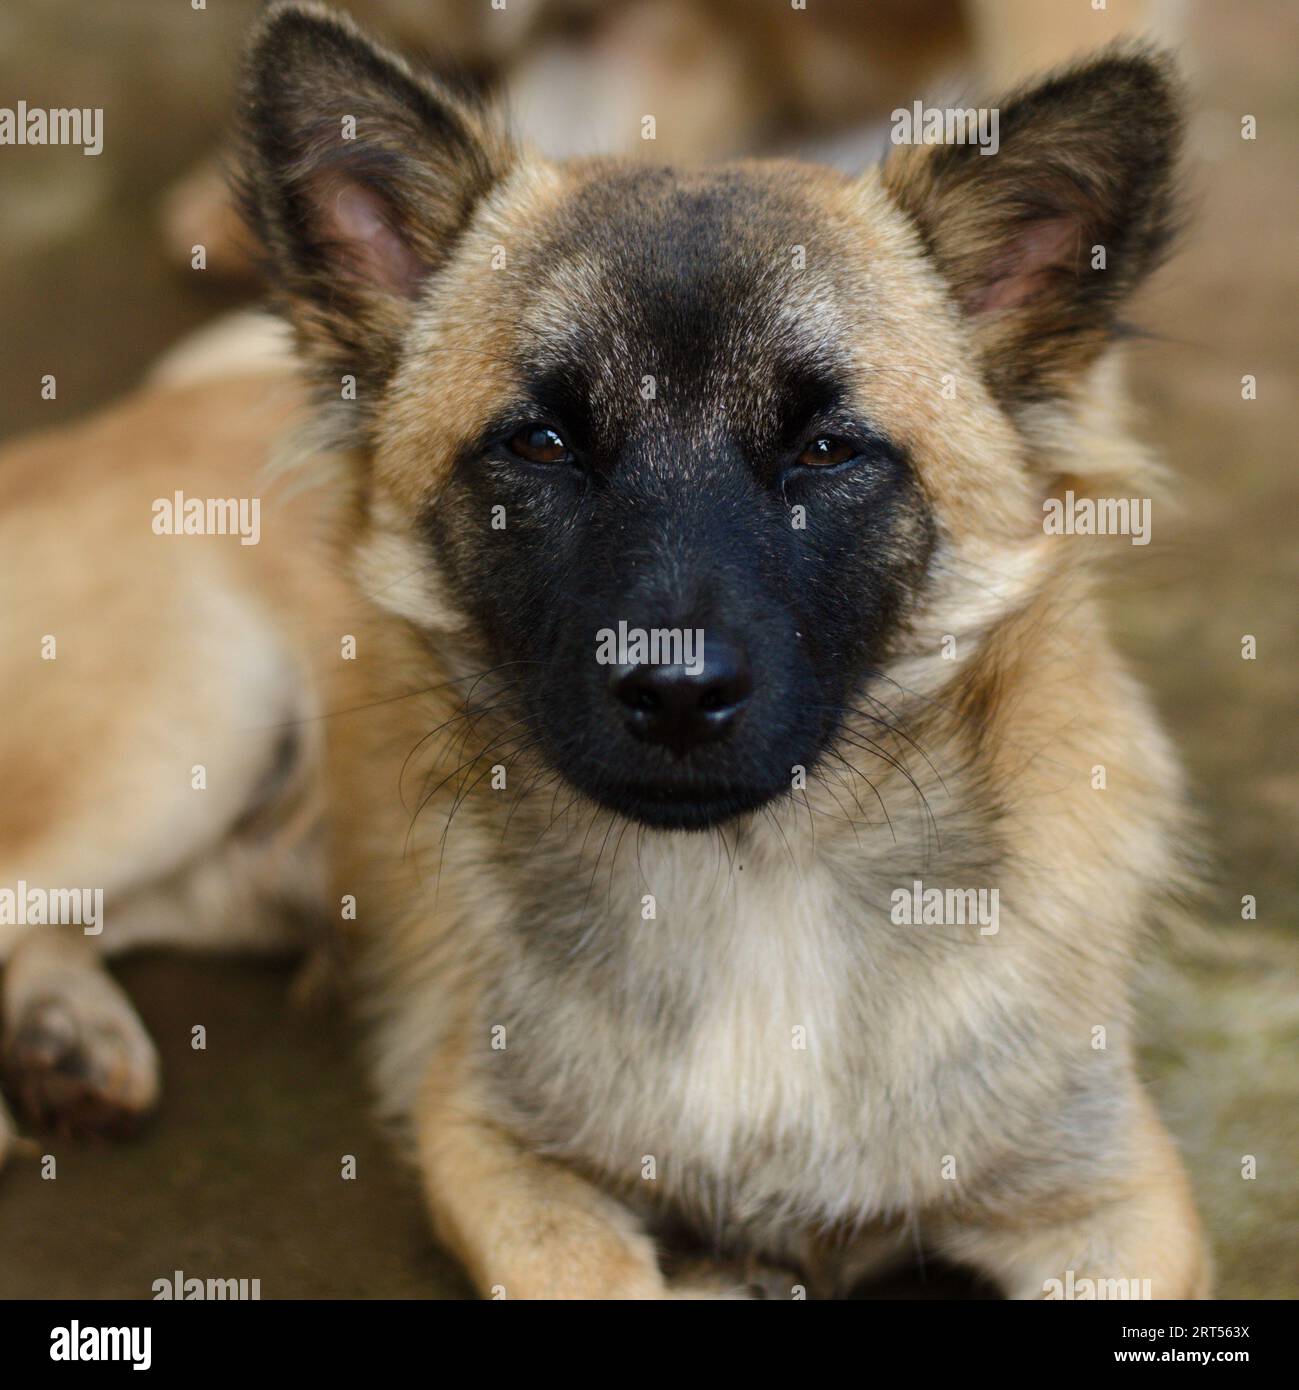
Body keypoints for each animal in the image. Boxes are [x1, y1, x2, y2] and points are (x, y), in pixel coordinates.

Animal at [2, 5, 1211, 1295]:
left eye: (828, 449)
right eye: (540, 443)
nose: (673, 692)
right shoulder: (484, 1140)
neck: (753, 891)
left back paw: (66, 1036)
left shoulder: (1118, 1200)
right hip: (174, 744)